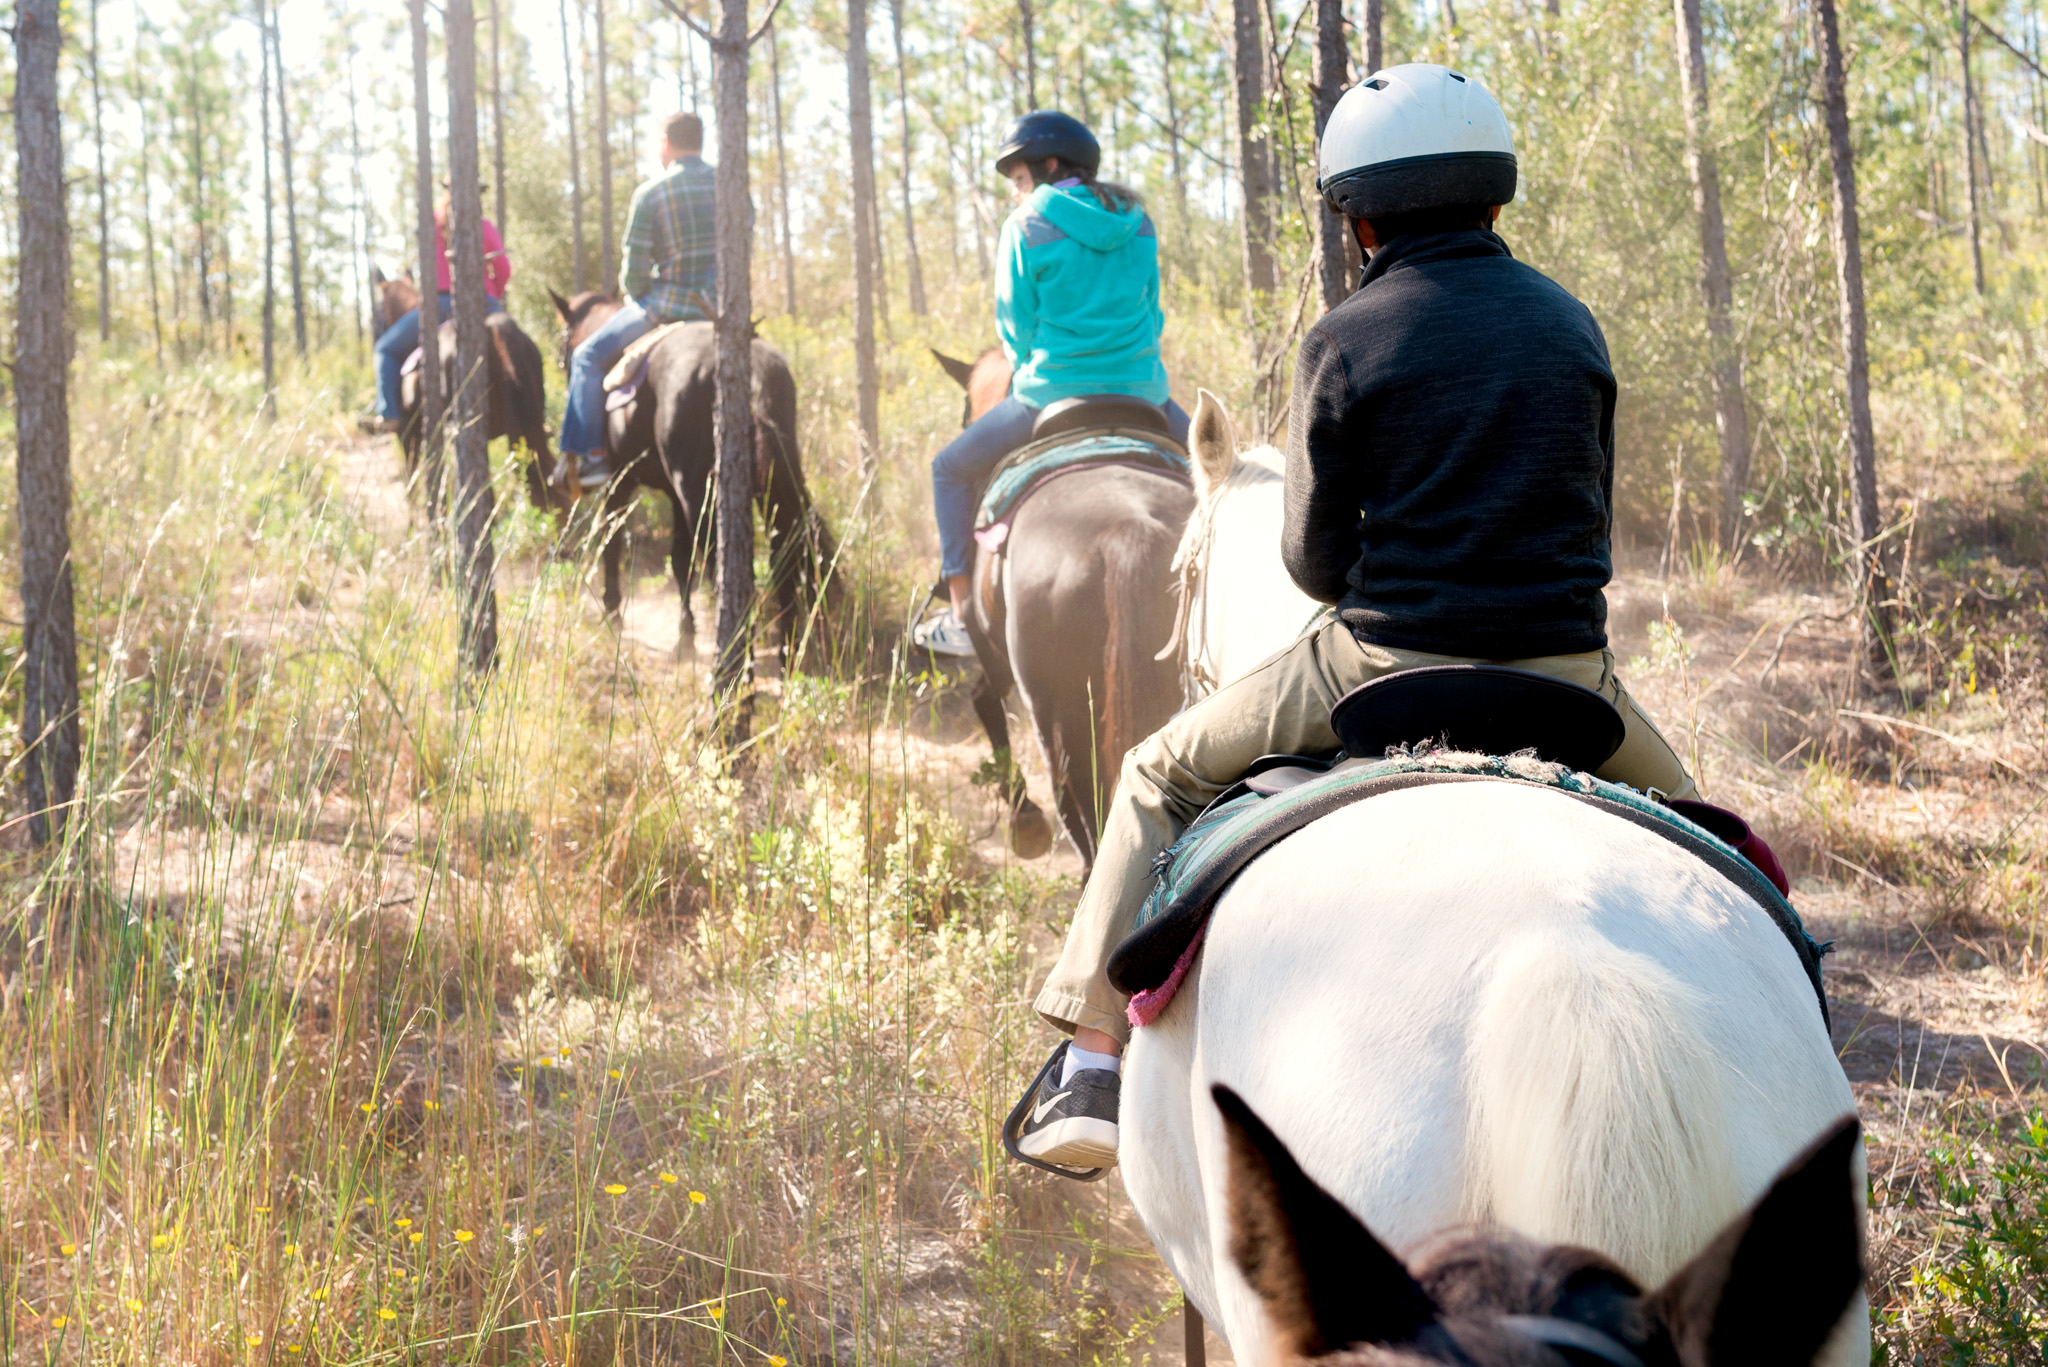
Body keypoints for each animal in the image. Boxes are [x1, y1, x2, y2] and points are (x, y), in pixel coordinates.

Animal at [548, 286, 835, 651]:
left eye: (564, 340)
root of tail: (752, 370)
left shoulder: (618, 482)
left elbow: (612, 545)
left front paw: (612, 612)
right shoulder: (672, 493)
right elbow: (679, 559)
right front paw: (685, 633)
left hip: (698, 493)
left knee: (720, 565)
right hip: (776, 487)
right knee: (784, 559)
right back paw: (785, 651)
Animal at [937, 352, 1196, 864]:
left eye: (964, 413)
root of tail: (1126, 530)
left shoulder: (990, 650)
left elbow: (984, 700)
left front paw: (1023, 819)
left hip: (1055, 708)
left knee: (1075, 801)